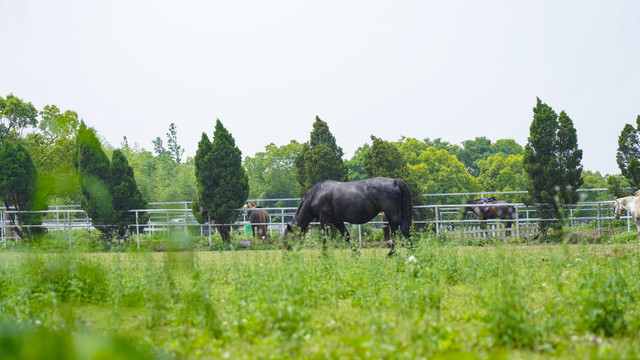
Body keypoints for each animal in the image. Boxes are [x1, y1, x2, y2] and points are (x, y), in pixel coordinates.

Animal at [282, 177, 412, 256]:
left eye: (287, 238)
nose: (286, 255)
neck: (316, 195)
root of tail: (394, 181)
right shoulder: (337, 221)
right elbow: (347, 236)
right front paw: (356, 254)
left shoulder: (324, 220)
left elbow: (325, 238)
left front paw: (325, 255)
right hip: (390, 215)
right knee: (395, 232)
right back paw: (391, 254)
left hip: (393, 214)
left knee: (403, 229)